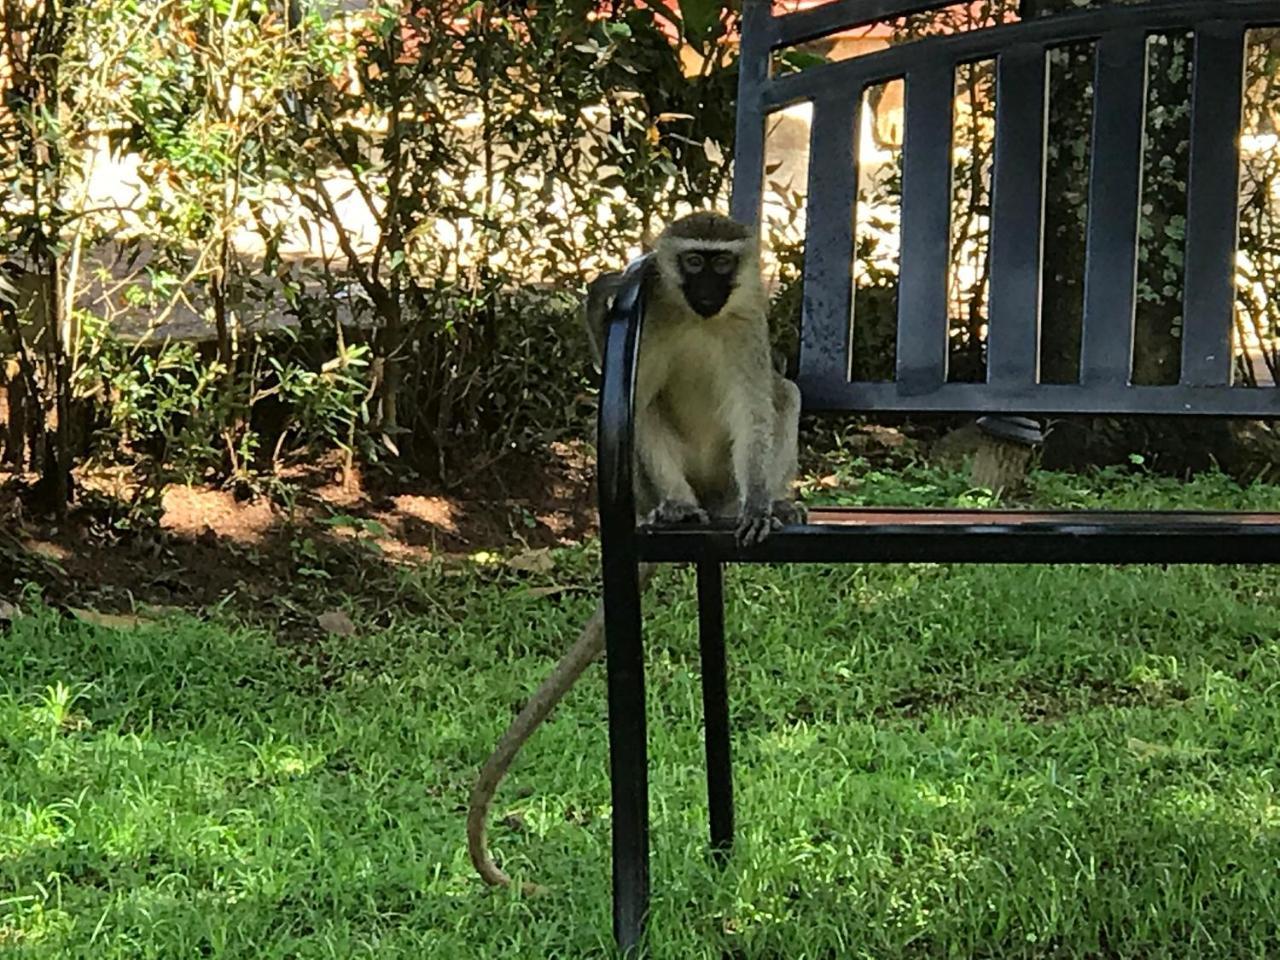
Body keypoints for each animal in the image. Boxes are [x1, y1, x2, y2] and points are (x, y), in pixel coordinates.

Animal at [465, 212, 803, 896]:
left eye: (723, 263)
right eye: (693, 262)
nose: (709, 291)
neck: (700, 318)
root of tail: (710, 499)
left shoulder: (748, 323)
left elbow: (756, 411)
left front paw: (763, 506)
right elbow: (625, 382)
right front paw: (609, 287)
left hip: (724, 482)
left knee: (782, 393)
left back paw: (764, 505)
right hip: (664, 483)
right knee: (644, 407)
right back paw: (672, 510)